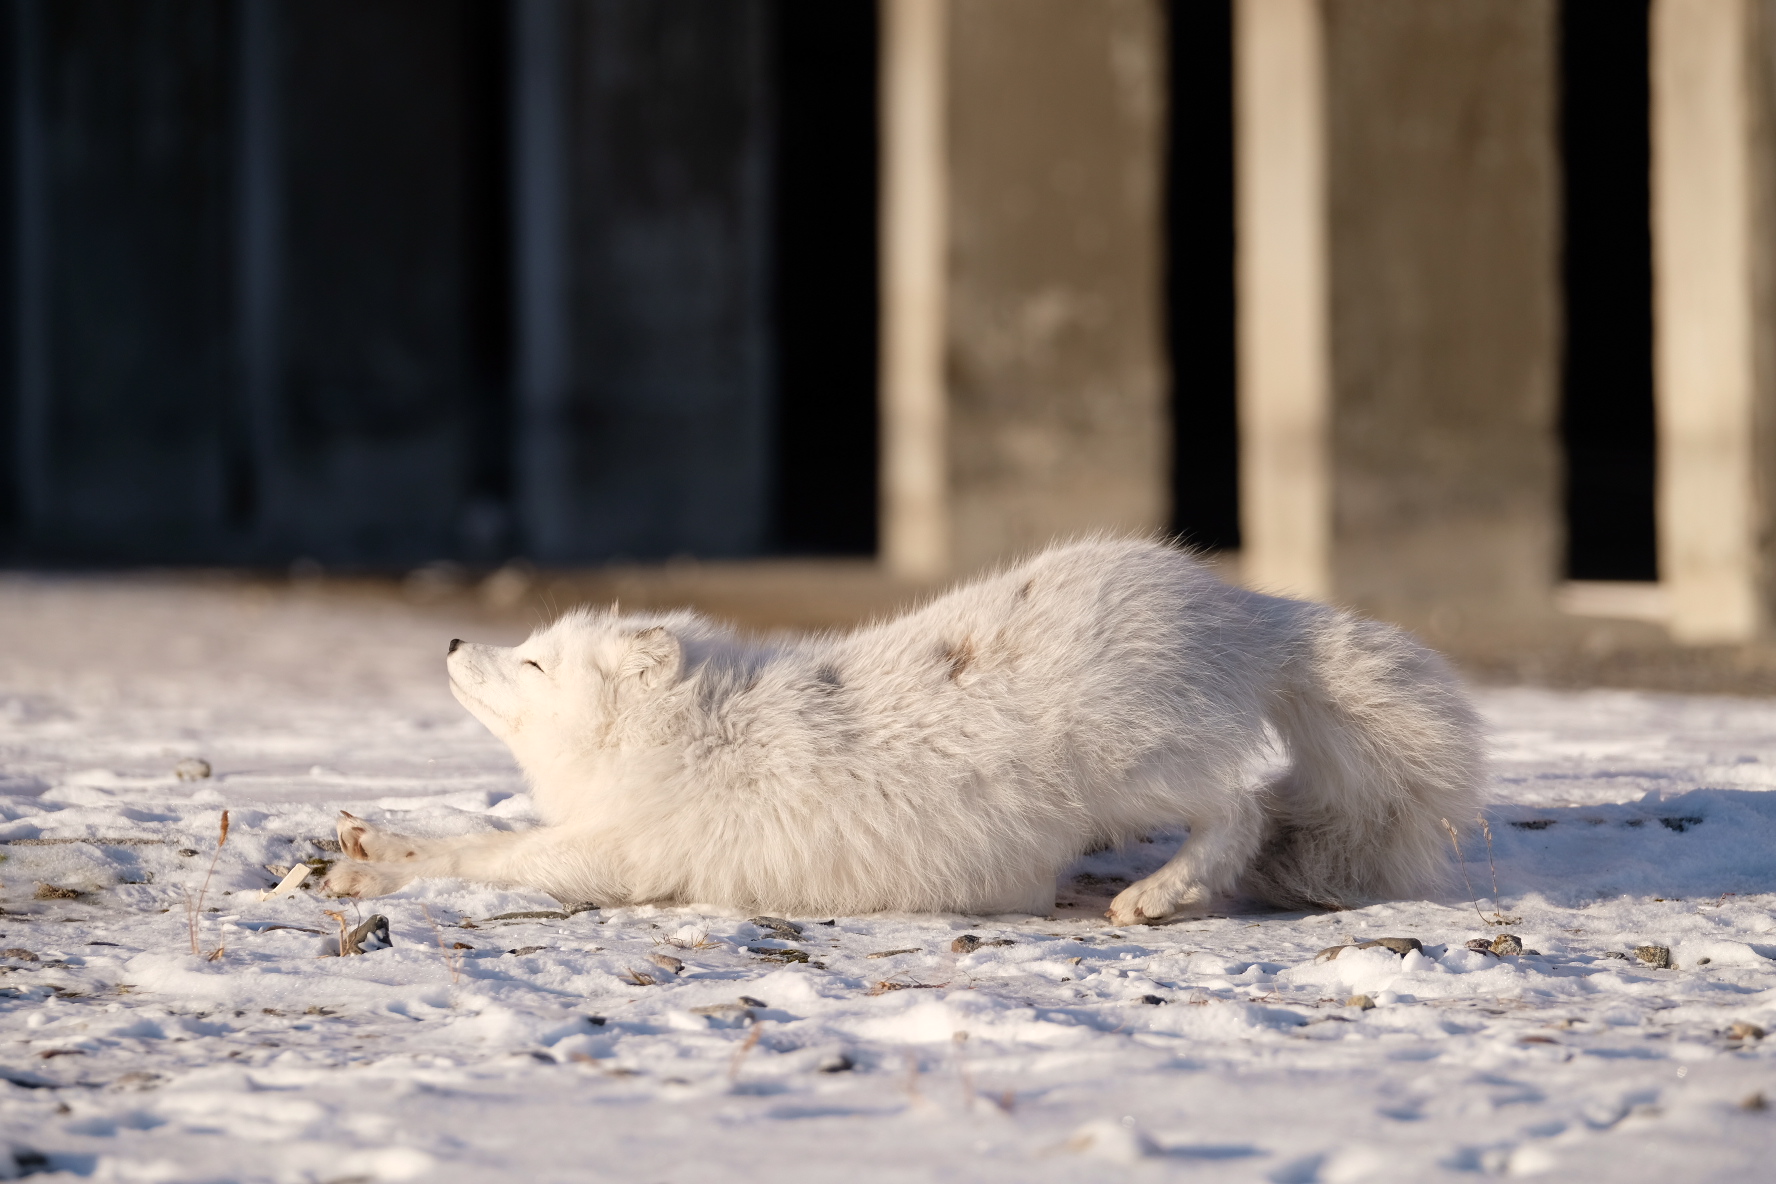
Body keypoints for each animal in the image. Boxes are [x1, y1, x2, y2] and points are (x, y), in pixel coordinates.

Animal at [323, 539, 1484, 923]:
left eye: (530, 662)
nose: (453, 640)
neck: (697, 732)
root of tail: (1237, 601)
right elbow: (485, 840)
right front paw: (373, 841)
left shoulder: (620, 852)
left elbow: (498, 856)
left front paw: (376, 866)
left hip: (1131, 763)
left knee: (1239, 808)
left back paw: (1158, 894)